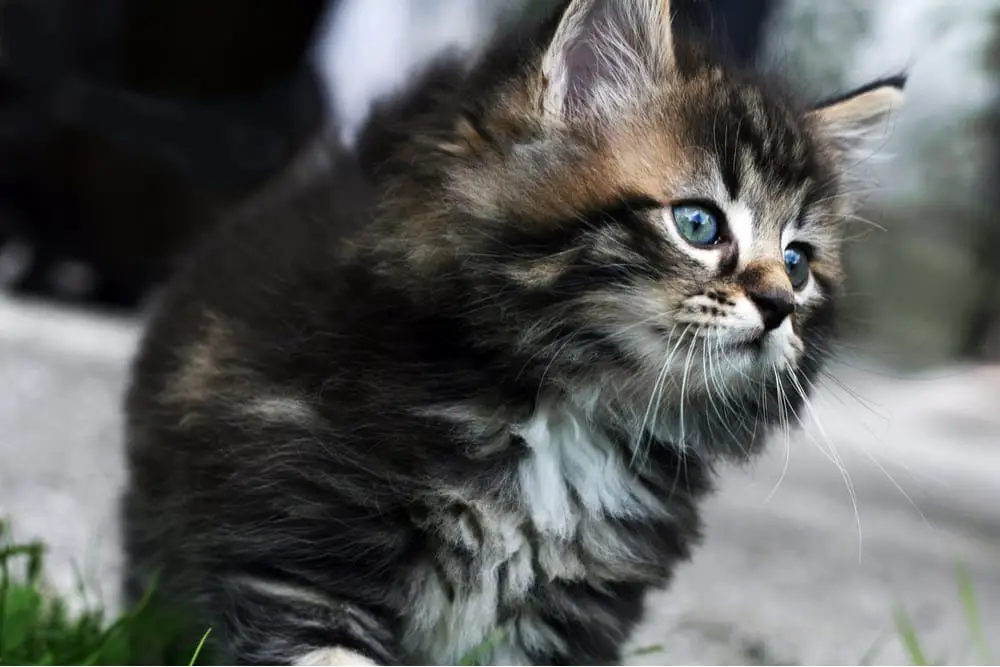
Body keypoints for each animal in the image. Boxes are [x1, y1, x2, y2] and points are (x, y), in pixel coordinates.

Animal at [121, 0, 904, 664]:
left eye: (798, 265)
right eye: (698, 223)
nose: (777, 305)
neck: (564, 417)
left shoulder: (570, 618)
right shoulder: (307, 554)